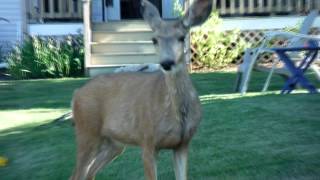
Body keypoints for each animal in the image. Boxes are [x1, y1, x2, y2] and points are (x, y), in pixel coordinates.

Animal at [71, 0, 214, 179]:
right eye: (154, 40)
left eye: (182, 37)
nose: (167, 63)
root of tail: (76, 94)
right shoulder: (147, 141)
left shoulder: (183, 144)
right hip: (87, 132)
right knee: (77, 174)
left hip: (114, 143)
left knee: (90, 172)